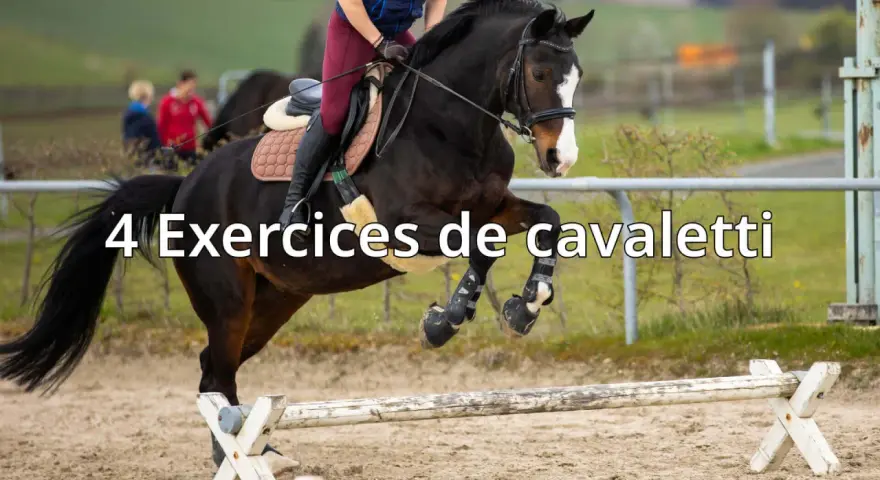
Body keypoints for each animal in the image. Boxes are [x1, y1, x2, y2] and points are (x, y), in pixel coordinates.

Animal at [0, 0, 594, 473]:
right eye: (540, 71)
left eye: (577, 75)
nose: (560, 158)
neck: (448, 125)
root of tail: (186, 185)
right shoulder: (407, 222)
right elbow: (483, 247)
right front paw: (444, 321)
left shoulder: (492, 206)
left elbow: (546, 221)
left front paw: (526, 304)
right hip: (228, 301)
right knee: (218, 371)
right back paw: (236, 457)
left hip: (274, 302)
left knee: (214, 369)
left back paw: (250, 448)